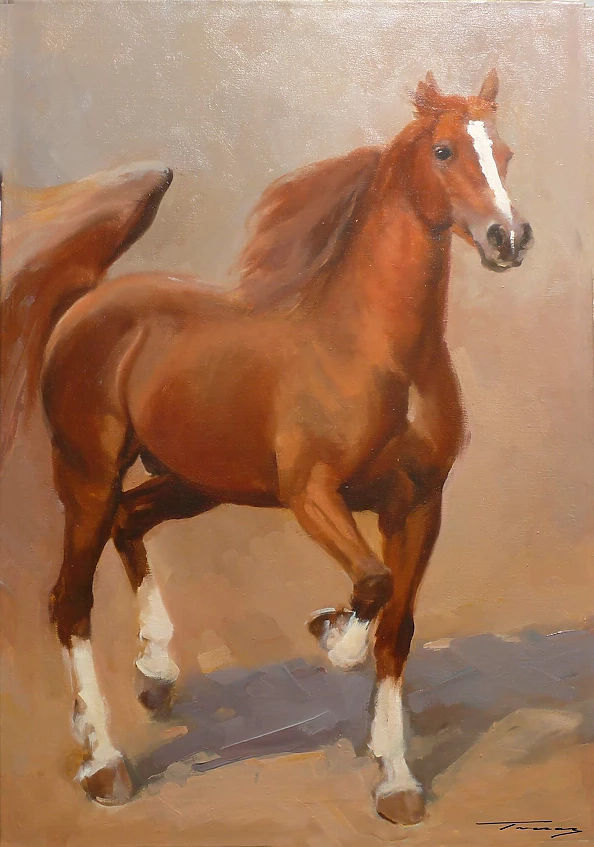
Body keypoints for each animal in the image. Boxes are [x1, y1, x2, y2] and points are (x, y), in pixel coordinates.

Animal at [3, 70, 533, 824]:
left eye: (505, 152)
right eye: (444, 150)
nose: (508, 237)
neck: (376, 352)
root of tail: (86, 304)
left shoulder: (419, 505)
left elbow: (396, 626)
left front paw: (396, 780)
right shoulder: (311, 495)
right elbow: (372, 586)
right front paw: (332, 636)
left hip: (193, 480)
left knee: (131, 524)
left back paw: (155, 673)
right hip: (88, 477)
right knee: (69, 600)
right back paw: (104, 763)